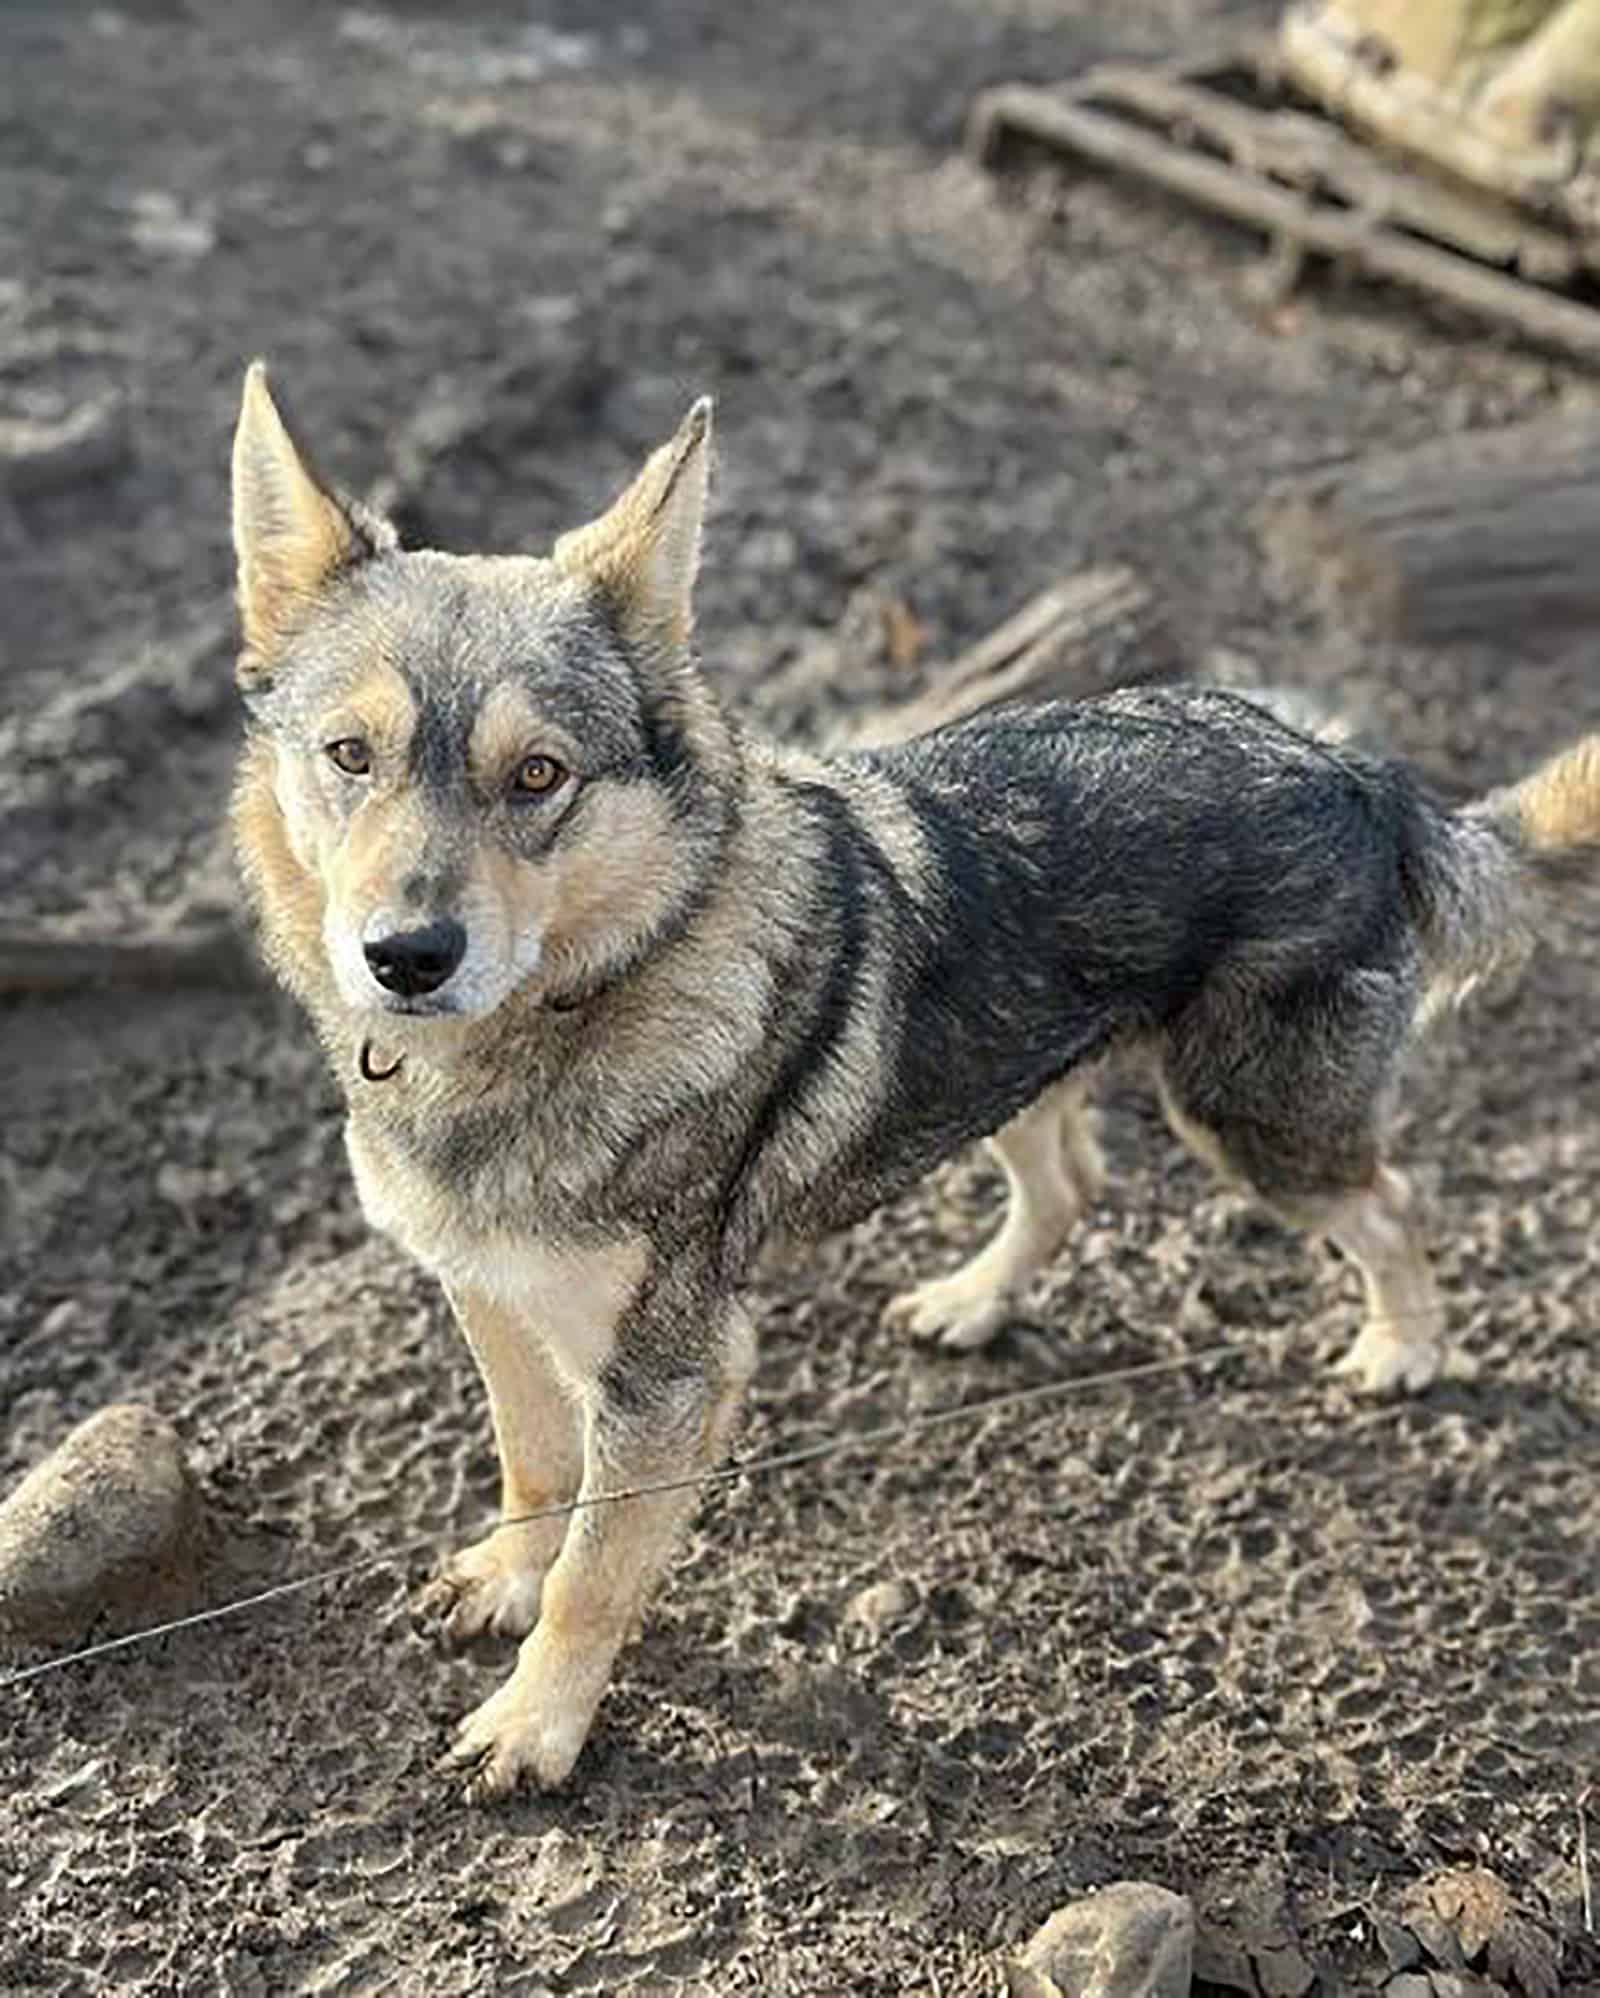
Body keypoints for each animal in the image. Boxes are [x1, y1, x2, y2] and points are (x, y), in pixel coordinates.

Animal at [230, 367, 1598, 1806]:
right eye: (350, 755)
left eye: (537, 774)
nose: (405, 956)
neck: (568, 1008)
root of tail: (1356, 772)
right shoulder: (488, 1292)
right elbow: (532, 1464)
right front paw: (504, 1575)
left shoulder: (670, 1375)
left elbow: (597, 1579)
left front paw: (537, 1723)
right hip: (1013, 1069)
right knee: (1073, 1185)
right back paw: (973, 1303)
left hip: (1250, 1125)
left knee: (1391, 1199)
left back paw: (1403, 1348)